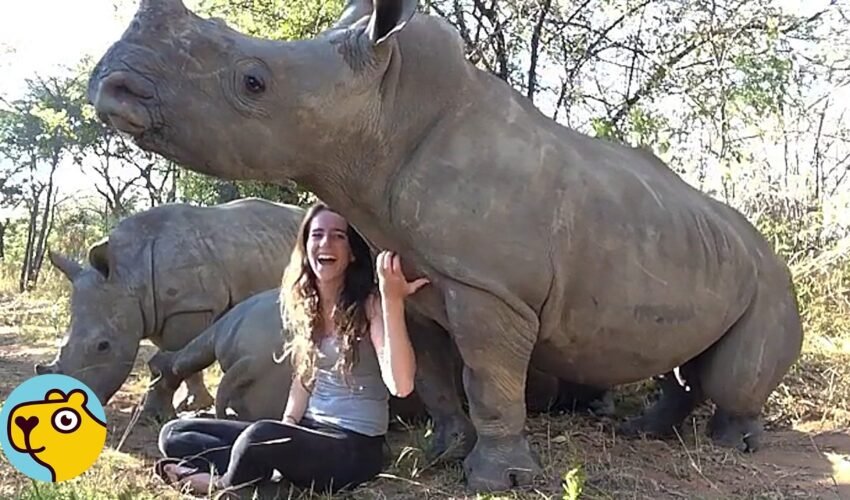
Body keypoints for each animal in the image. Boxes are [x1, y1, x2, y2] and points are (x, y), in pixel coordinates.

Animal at [36, 198, 304, 421]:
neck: (129, 274)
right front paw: (167, 411)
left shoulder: (189, 307)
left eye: (103, 346)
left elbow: (176, 356)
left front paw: (170, 412)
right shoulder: (155, 312)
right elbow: (169, 359)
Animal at [88, 0, 804, 491]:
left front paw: (497, 481)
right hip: (687, 246)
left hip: (770, 272)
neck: (383, 110)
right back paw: (641, 432)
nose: (113, 87)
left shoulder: (491, 289)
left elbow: (488, 378)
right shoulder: (417, 278)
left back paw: (734, 445)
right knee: (681, 356)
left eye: (254, 83)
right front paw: (438, 455)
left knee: (735, 365)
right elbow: (433, 376)